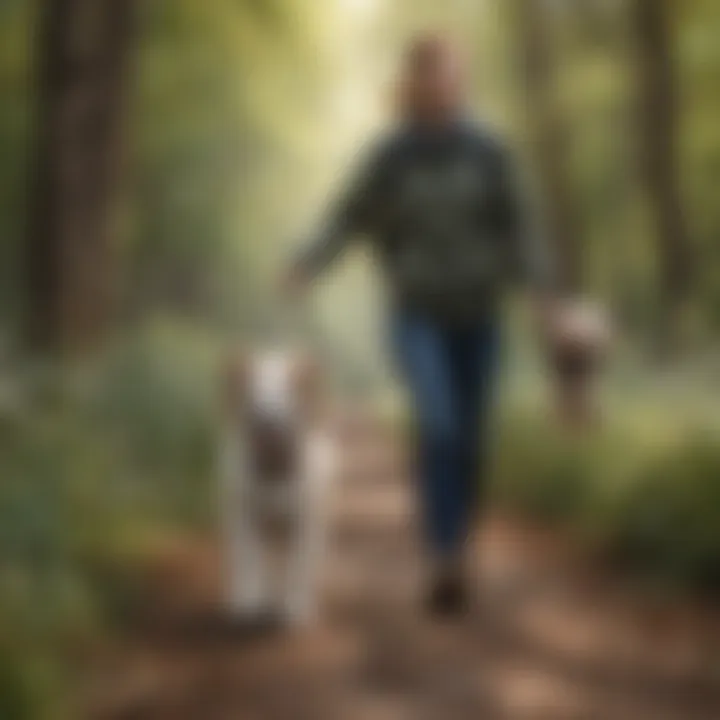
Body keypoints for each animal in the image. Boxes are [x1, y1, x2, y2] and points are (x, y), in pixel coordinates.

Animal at [218, 348, 338, 624]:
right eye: (253, 389)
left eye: (287, 389)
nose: (265, 416)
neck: (273, 468)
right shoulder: (245, 518)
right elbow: (249, 559)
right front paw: (247, 602)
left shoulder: (304, 523)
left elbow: (297, 566)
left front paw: (295, 609)